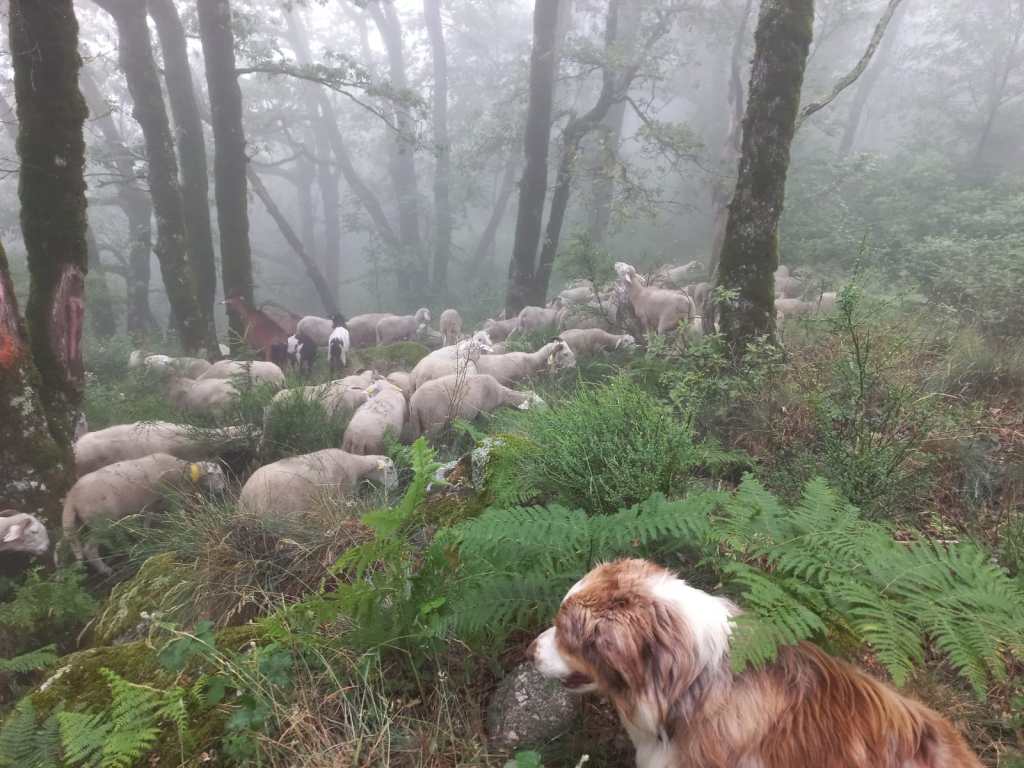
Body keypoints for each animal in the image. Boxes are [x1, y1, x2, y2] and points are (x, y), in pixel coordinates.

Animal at [63, 453, 226, 573]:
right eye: (219, 474)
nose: (223, 490)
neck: (184, 473)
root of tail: (72, 497)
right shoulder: (172, 496)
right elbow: (180, 513)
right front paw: (189, 526)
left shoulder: (150, 504)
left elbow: (147, 521)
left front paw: (147, 537)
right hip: (101, 523)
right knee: (89, 549)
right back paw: (106, 570)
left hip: (80, 523)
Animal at [409, 373, 544, 438]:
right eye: (538, 404)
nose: (545, 413)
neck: (501, 394)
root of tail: (414, 402)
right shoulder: (485, 411)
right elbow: (486, 425)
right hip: (434, 422)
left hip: (419, 424)